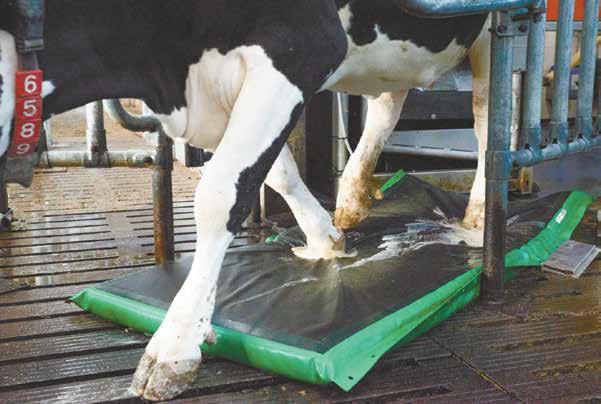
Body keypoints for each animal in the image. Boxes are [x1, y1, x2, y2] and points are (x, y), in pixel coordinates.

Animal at [0, 0, 490, 400]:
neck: (166, 73)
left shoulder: (302, 46)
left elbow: (219, 194)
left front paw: (173, 346)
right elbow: (275, 172)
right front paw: (326, 241)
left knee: (487, 117)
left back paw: (478, 218)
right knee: (390, 101)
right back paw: (352, 198)